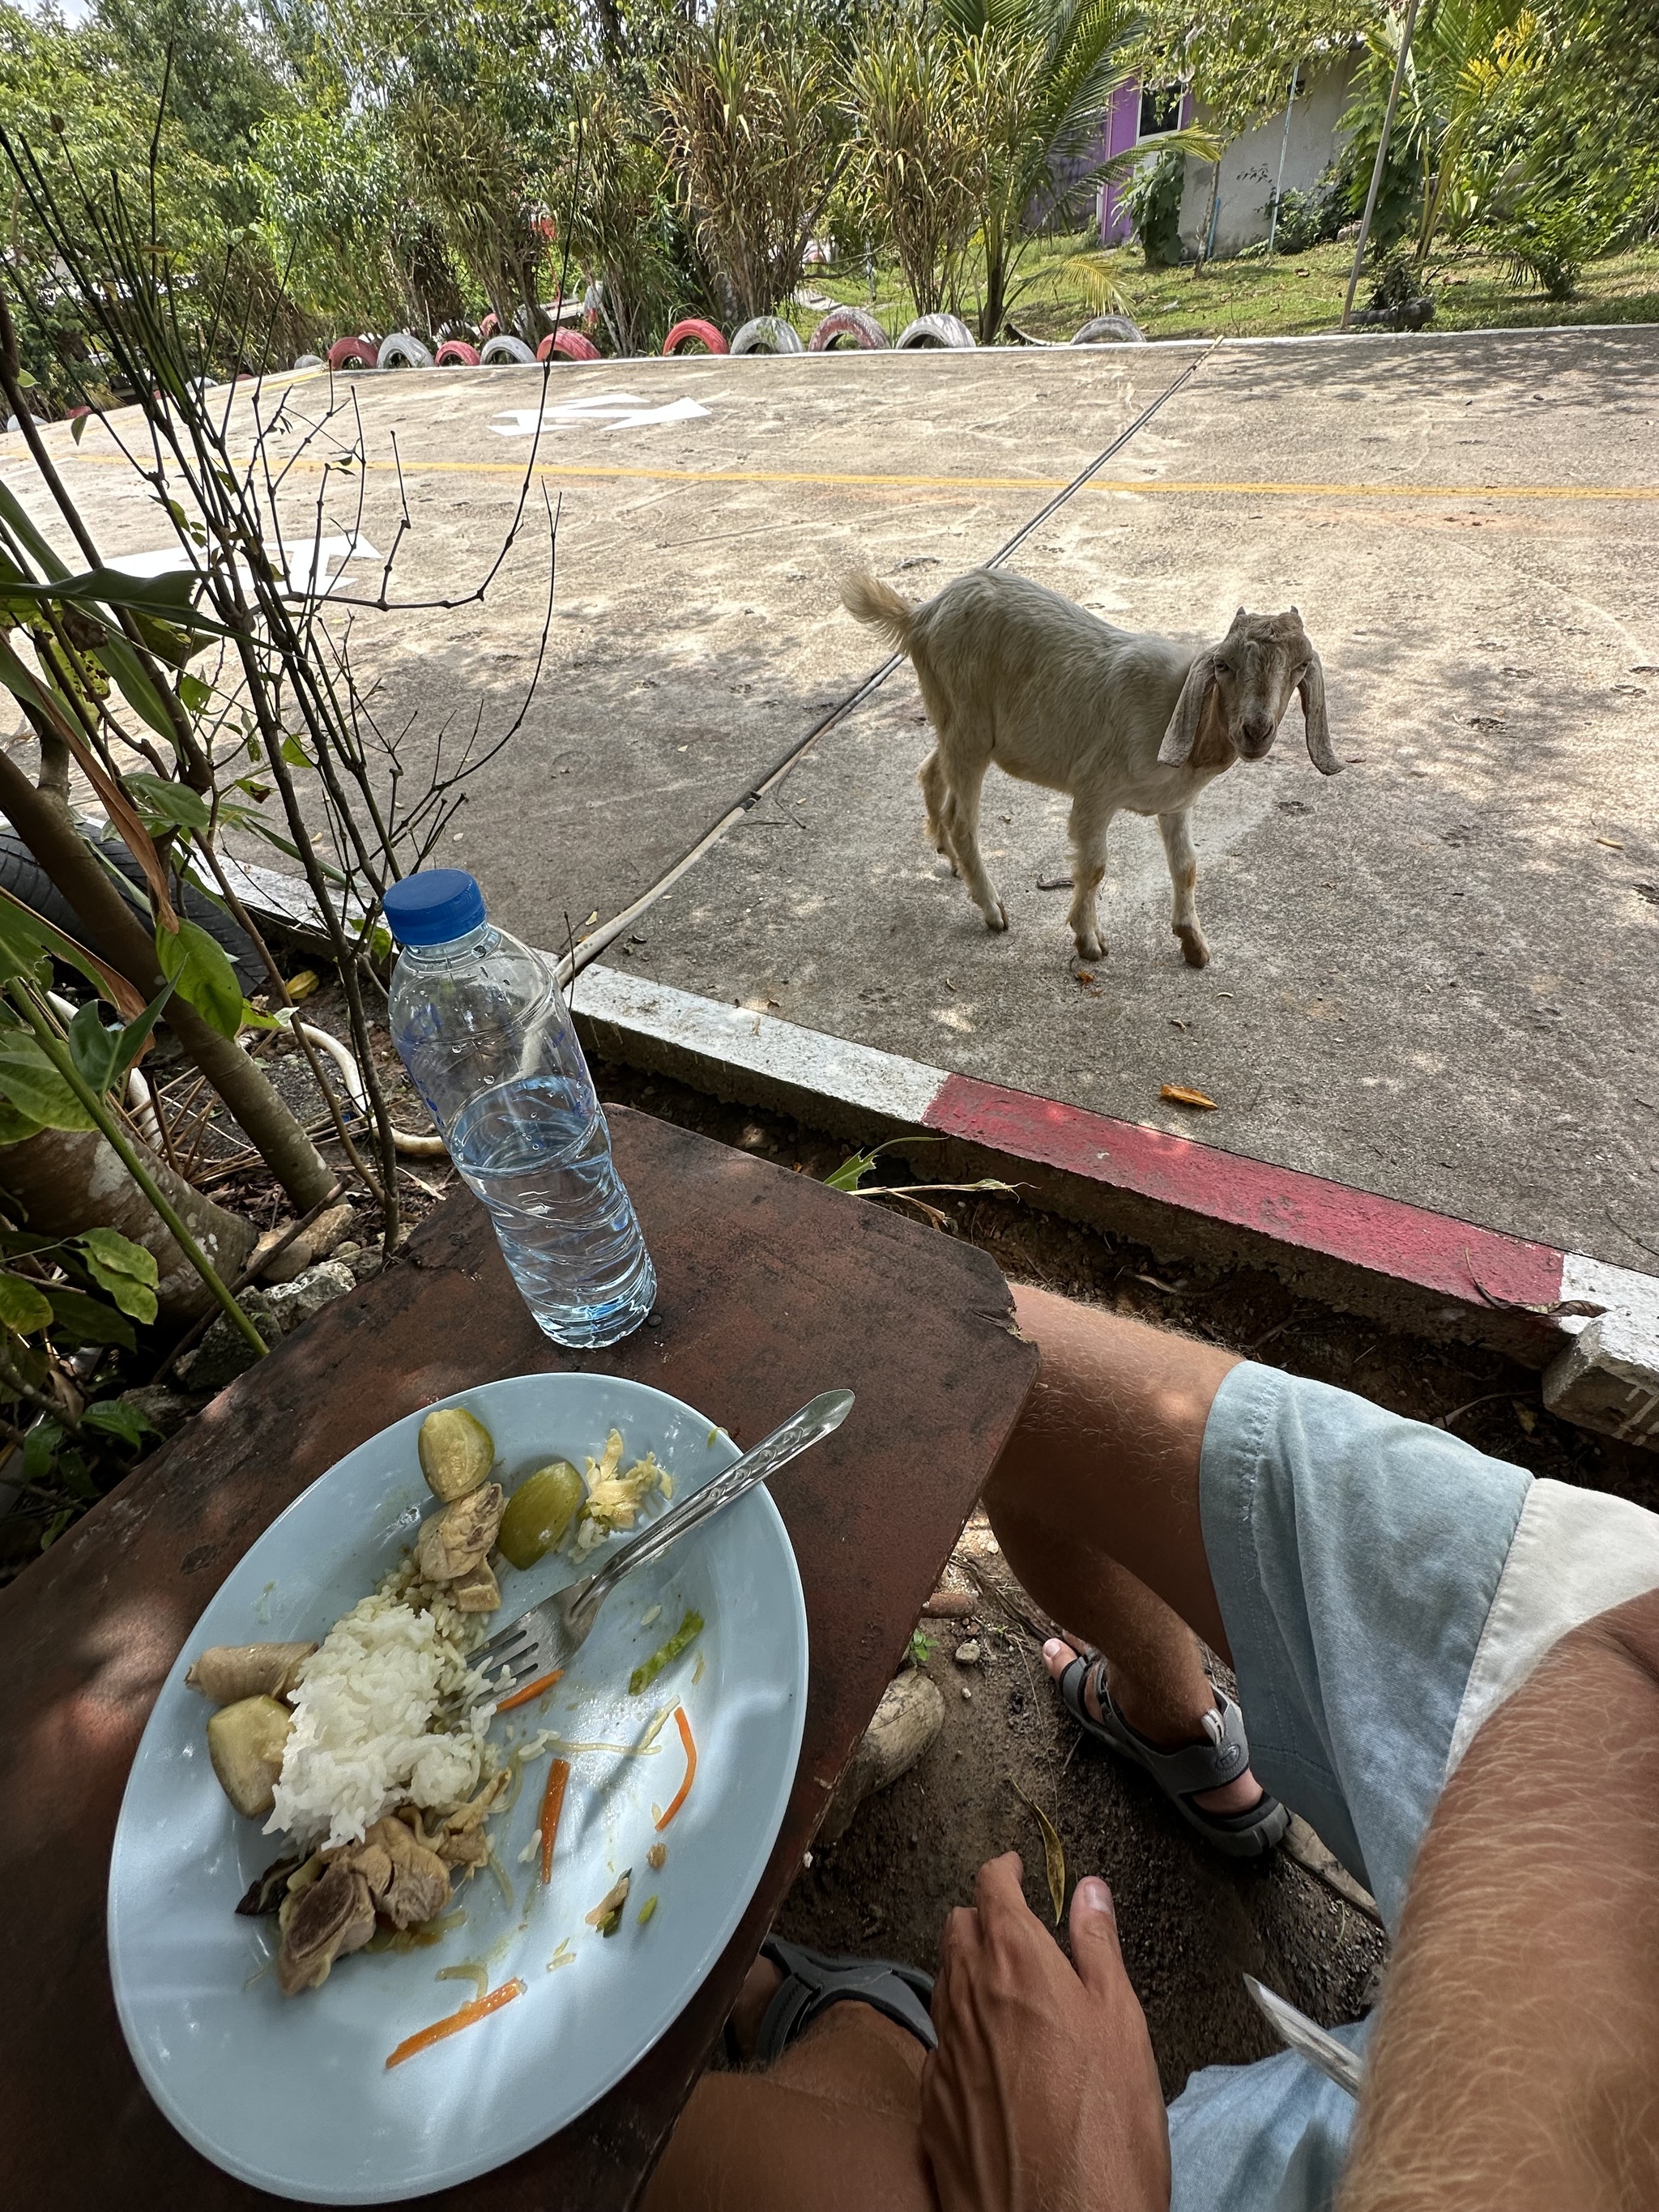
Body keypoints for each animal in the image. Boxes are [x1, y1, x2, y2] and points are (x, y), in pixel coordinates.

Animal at [845, 566, 1336, 964]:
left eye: (1299, 668)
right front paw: (1088, 942)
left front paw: (1194, 945)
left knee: (931, 770)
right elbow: (1095, 865)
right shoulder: (1096, 791)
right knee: (963, 819)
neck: (1175, 708)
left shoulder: (1175, 805)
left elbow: (1186, 866)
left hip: (954, 723)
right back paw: (992, 909)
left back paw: (949, 858)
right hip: (969, 728)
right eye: (1223, 666)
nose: (1256, 731)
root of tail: (921, 615)